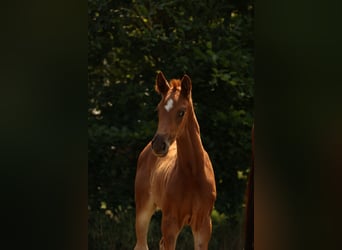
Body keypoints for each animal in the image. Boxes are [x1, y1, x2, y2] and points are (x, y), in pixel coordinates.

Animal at [134, 71, 216, 249]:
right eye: (158, 109)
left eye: (181, 112)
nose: (159, 145)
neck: (193, 174)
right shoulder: (170, 222)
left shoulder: (204, 225)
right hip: (143, 209)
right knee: (142, 244)